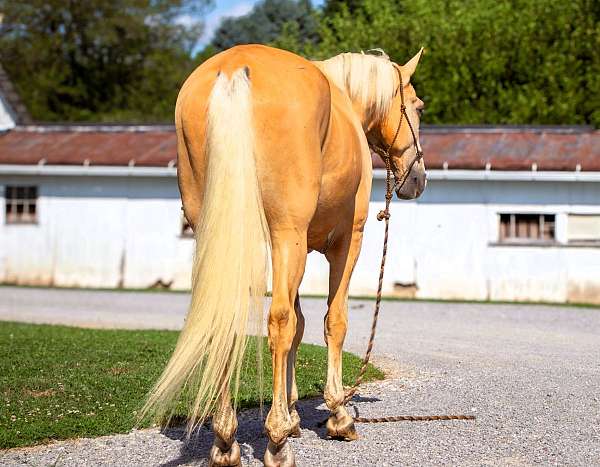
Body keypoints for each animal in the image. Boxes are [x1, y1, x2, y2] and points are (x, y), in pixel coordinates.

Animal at [144, 43, 426, 464]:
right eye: (418, 107)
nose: (418, 178)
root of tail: (233, 69)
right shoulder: (343, 242)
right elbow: (330, 321)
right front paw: (337, 414)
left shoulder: (297, 247)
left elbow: (300, 324)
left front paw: (293, 414)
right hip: (285, 235)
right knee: (278, 323)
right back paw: (276, 441)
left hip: (225, 236)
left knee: (226, 319)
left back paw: (225, 439)